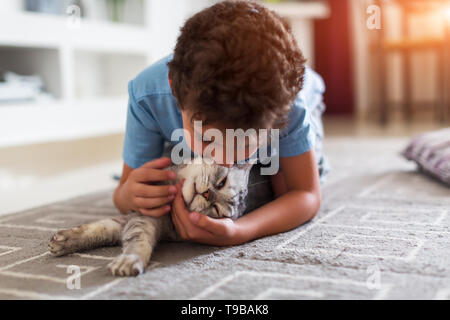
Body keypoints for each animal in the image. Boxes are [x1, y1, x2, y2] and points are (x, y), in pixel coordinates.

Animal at [50, 161, 253, 276]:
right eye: (222, 183)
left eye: (217, 210)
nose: (208, 195)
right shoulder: (139, 213)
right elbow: (102, 228)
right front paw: (65, 241)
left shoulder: (140, 220)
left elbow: (134, 239)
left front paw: (129, 260)